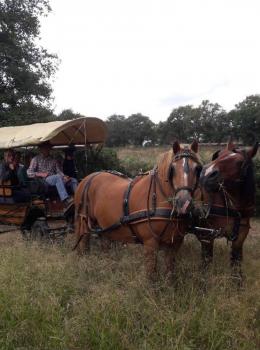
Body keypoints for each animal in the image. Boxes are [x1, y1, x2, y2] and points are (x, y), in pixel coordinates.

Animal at [74, 142, 202, 278]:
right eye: (172, 169)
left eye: (197, 169)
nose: (184, 203)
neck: (158, 197)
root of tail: (87, 178)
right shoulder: (150, 243)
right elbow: (151, 275)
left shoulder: (175, 243)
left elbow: (170, 272)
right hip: (84, 221)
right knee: (84, 244)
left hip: (104, 226)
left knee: (105, 245)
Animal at [199, 139, 258, 282]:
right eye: (219, 155)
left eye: (239, 162)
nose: (205, 175)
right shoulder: (207, 236)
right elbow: (206, 265)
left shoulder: (240, 238)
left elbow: (236, 267)